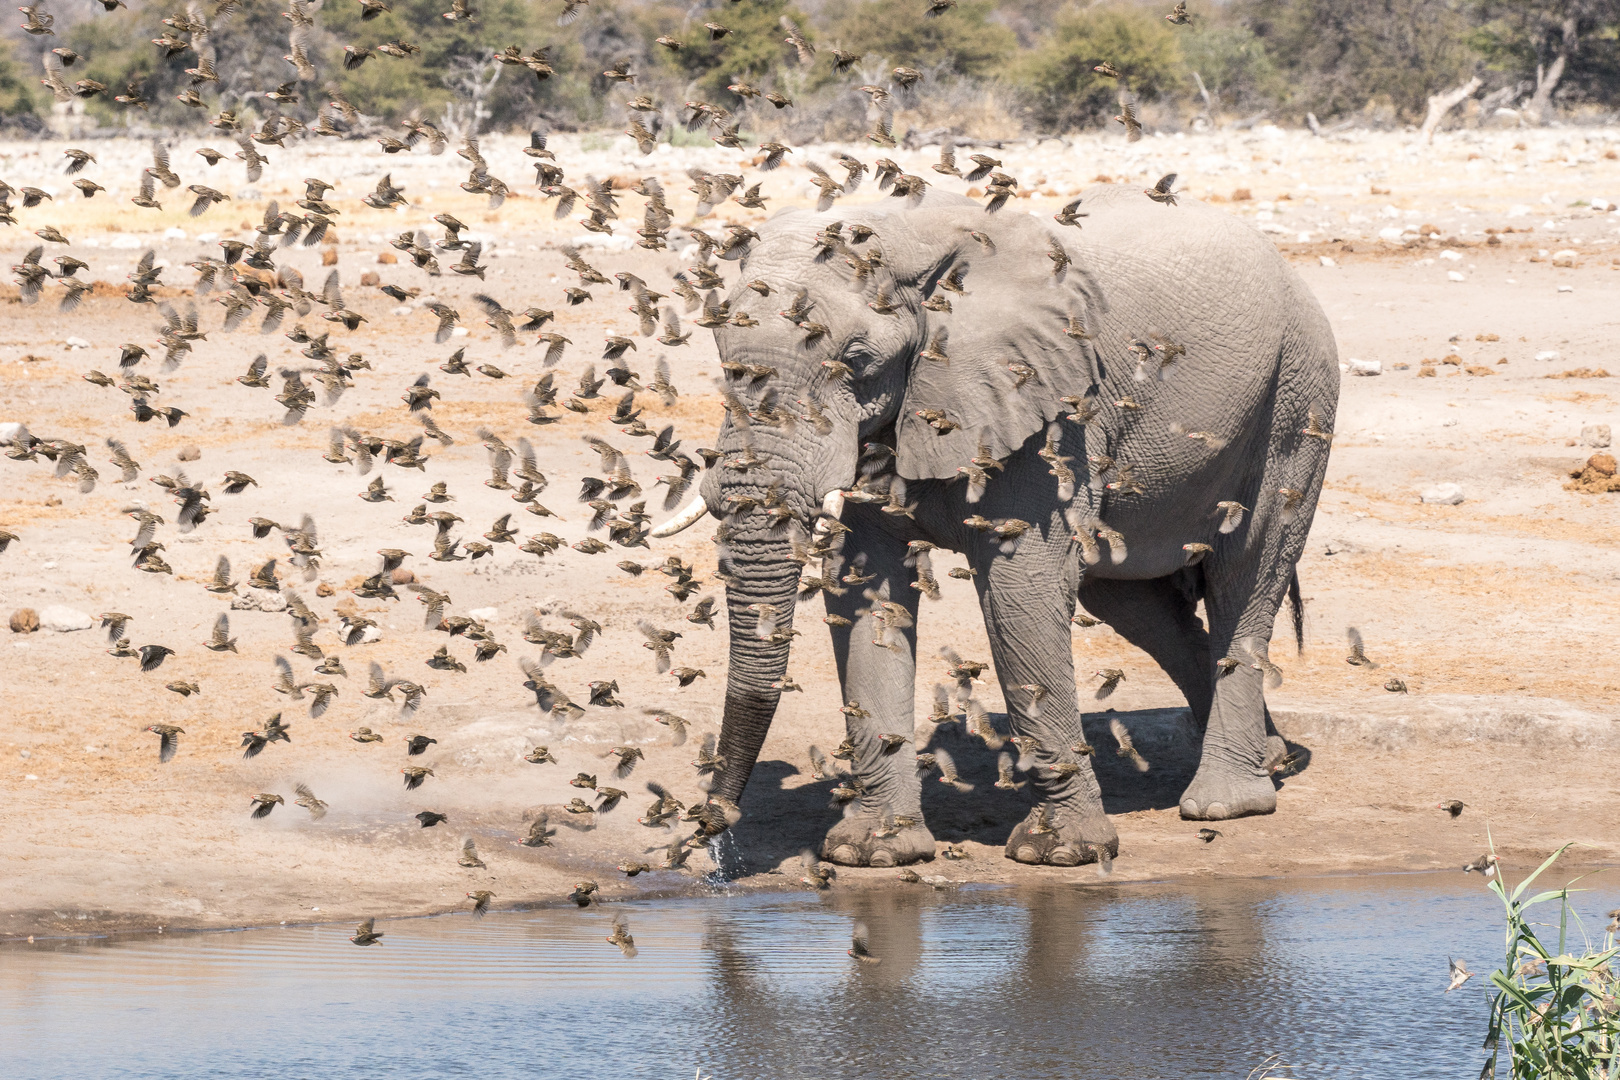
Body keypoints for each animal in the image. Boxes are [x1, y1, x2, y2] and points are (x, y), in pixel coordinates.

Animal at [651, 183, 1334, 867]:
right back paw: (1274, 758)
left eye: (855, 361)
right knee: (1134, 601)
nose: (710, 831)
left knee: (1246, 573)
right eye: (721, 356)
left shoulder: (1044, 407)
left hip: (1296, 398)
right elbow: (867, 589)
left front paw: (1061, 853)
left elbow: (1020, 593)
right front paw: (874, 853)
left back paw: (1225, 803)